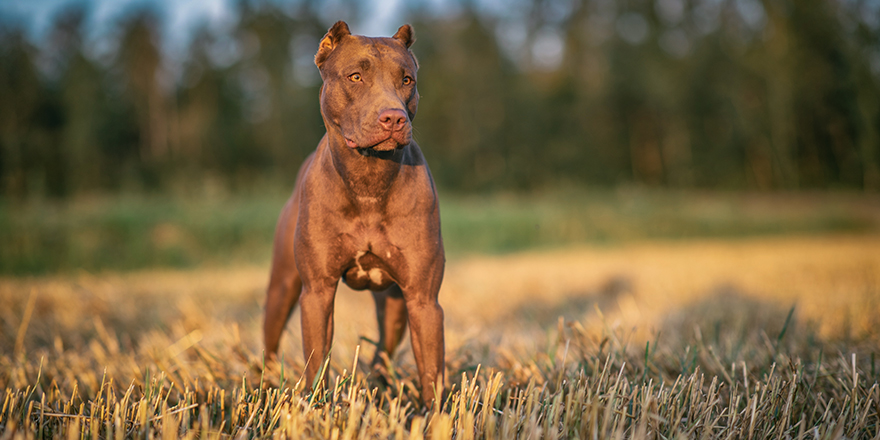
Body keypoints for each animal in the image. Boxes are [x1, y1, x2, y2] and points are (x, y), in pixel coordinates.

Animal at [258, 20, 444, 406]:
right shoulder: (317, 291)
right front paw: (314, 407)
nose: (393, 118)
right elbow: (317, 360)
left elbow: (432, 372)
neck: (369, 178)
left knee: (383, 349)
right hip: (282, 287)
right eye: (355, 76)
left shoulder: (423, 299)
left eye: (407, 80)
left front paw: (435, 414)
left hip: (395, 305)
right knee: (270, 343)